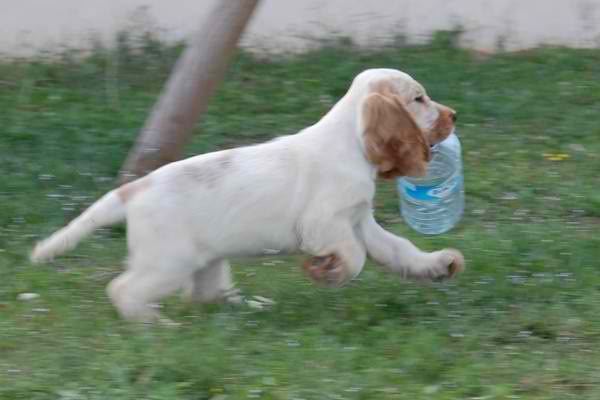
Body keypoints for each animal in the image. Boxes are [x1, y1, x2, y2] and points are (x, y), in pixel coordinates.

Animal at [31, 68, 464, 322]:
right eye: (419, 99)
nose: (454, 115)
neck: (350, 142)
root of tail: (132, 189)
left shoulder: (360, 221)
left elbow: (399, 249)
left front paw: (438, 265)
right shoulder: (326, 224)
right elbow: (355, 258)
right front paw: (328, 273)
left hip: (206, 261)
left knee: (205, 297)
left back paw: (249, 308)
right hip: (169, 262)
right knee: (124, 290)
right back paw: (155, 325)